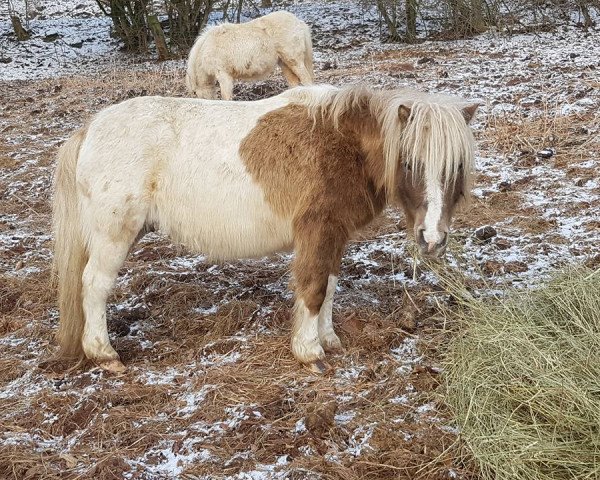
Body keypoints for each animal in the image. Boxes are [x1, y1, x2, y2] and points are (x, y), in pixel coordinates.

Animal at [54, 84, 480, 374]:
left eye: (457, 167)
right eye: (409, 163)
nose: (432, 239)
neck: (343, 143)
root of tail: (91, 128)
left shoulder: (334, 235)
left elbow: (329, 287)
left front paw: (329, 339)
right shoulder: (316, 230)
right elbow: (313, 289)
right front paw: (310, 353)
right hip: (114, 234)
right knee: (94, 285)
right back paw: (104, 354)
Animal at [186, 10, 314, 100]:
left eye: (195, 93)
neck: (207, 47)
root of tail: (299, 22)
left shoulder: (224, 75)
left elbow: (226, 97)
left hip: (295, 62)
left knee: (307, 81)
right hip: (285, 64)